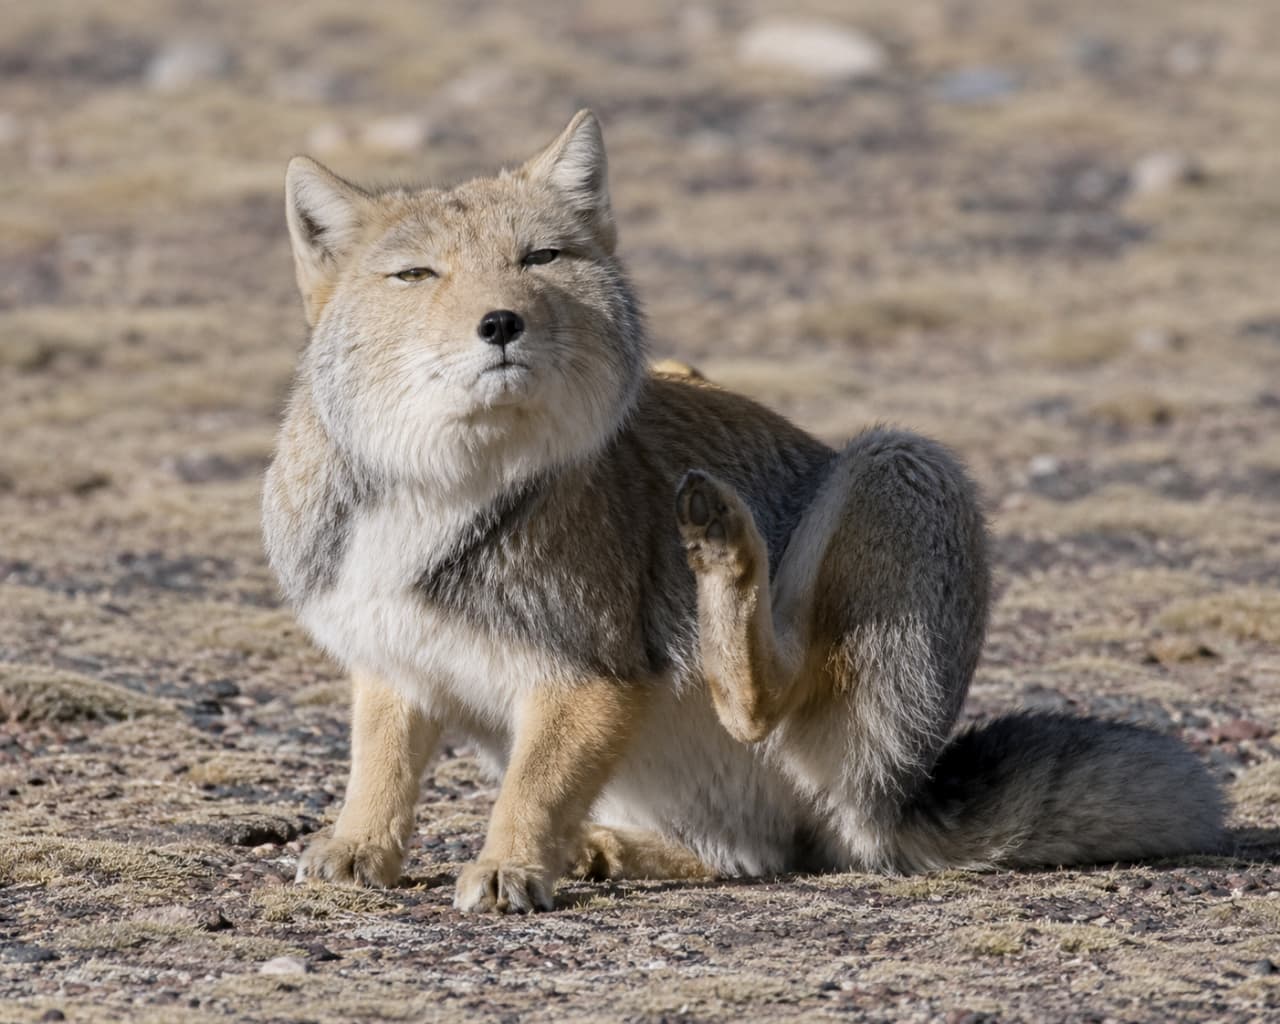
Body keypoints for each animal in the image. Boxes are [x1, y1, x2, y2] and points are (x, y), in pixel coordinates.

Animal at [262, 109, 1224, 913]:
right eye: (415, 274)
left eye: (541, 260)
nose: (500, 323)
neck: (441, 495)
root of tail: (897, 804)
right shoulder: (396, 663)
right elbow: (379, 769)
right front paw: (358, 846)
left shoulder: (592, 676)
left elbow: (531, 791)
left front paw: (508, 865)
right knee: (748, 856)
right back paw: (605, 849)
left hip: (898, 466)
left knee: (768, 707)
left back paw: (722, 550)